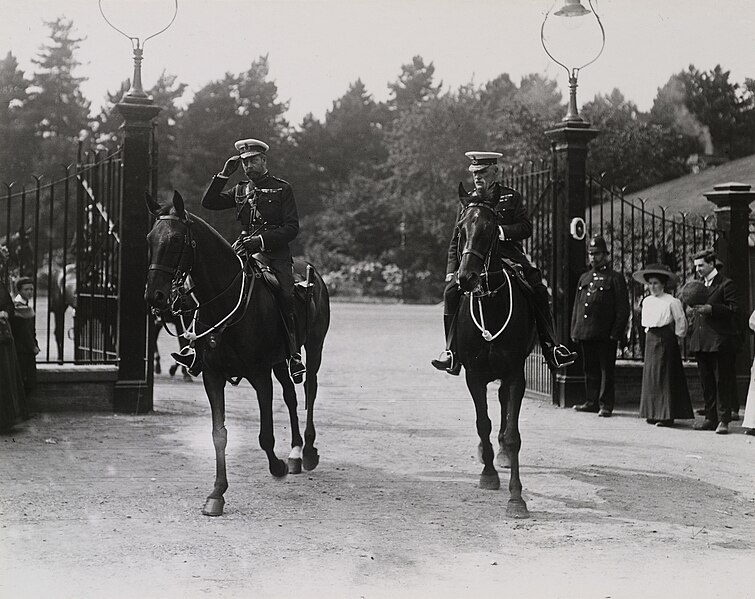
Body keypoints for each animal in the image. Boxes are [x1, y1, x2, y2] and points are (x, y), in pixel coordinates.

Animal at [143, 191, 330, 516]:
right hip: (281, 359)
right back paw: (294, 452)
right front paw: (216, 494)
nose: (154, 295)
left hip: (313, 348)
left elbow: (265, 435)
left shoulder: (259, 374)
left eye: (177, 240)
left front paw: (277, 467)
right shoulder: (213, 376)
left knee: (309, 389)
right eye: (150, 238)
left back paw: (306, 451)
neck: (224, 299)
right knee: (291, 397)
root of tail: (312, 271)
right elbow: (219, 435)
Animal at [454, 193, 536, 520]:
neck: (491, 306)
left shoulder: (515, 375)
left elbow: (513, 434)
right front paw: (488, 474)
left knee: (502, 403)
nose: (466, 277)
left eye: (491, 228)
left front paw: (516, 498)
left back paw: (501, 453)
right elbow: (482, 423)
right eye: (461, 228)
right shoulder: (474, 376)